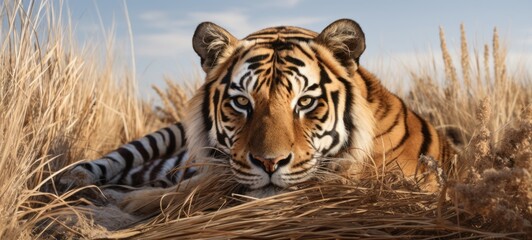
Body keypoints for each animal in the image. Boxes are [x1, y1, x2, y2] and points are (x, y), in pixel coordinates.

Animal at [60, 19, 456, 212]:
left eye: (305, 102)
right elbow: (201, 183)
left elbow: (202, 187)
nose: (269, 163)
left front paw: (137, 199)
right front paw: (135, 199)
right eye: (241, 102)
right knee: (106, 162)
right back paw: (75, 183)